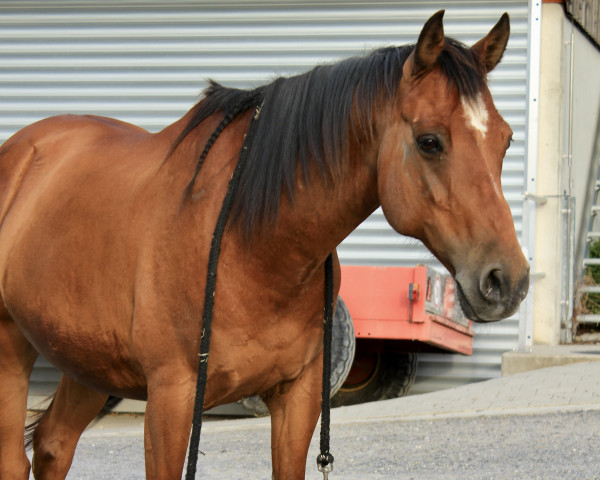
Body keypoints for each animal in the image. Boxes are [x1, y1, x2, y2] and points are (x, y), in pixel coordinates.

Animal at [0, 11, 528, 480]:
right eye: (430, 141)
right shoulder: (171, 399)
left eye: (505, 141)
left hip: (85, 361)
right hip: (13, 347)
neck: (253, 246)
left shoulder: (297, 399)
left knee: (52, 446)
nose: (508, 281)